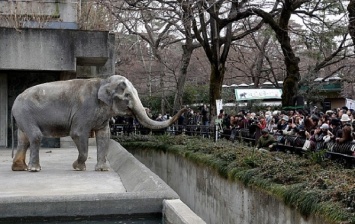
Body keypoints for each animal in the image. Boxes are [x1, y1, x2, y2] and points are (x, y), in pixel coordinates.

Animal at [11, 75, 186, 172]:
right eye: (127, 95)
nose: (184, 108)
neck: (104, 81)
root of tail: (15, 100)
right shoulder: (84, 109)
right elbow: (78, 133)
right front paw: (78, 167)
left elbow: (104, 136)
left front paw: (102, 169)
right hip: (25, 113)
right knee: (35, 136)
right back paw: (34, 169)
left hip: (22, 116)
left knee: (23, 140)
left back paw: (20, 168)